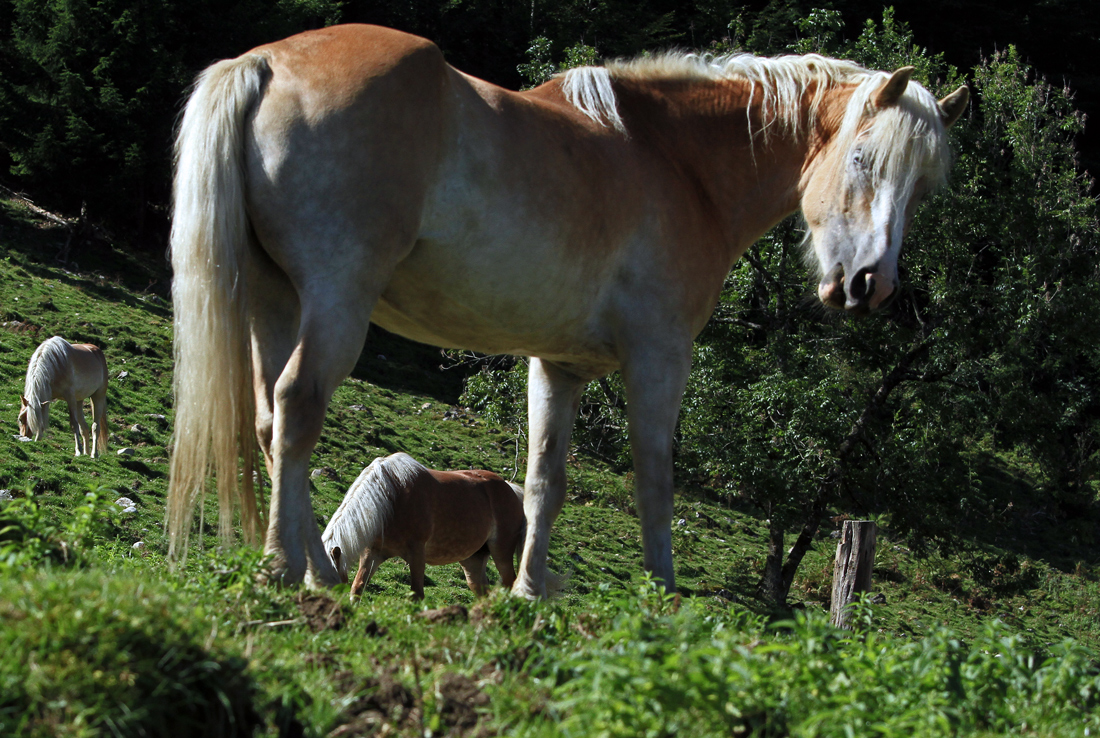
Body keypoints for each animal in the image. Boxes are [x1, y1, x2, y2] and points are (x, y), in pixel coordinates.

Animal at [321, 450, 525, 598]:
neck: (390, 498)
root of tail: (510, 488)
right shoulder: (373, 554)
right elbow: (357, 588)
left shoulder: (417, 553)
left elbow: (417, 595)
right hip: (473, 560)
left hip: (501, 552)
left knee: (510, 584)